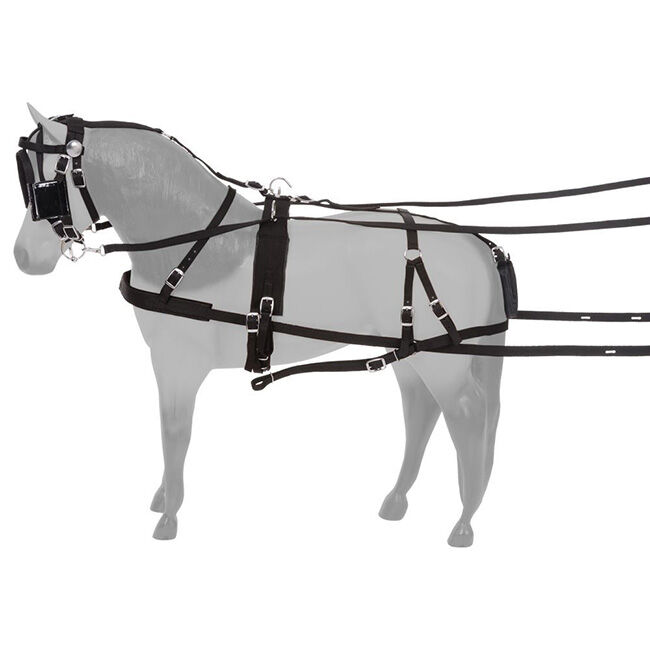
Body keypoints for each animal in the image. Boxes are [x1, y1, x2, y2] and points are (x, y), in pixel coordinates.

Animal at [14, 105, 506, 545]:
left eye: (46, 187)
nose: (23, 258)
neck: (199, 246)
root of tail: (475, 244)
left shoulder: (178, 363)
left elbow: (174, 432)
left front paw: (169, 516)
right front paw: (163, 497)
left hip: (443, 360)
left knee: (467, 415)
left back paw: (464, 522)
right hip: (411, 355)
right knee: (422, 412)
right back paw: (398, 499)